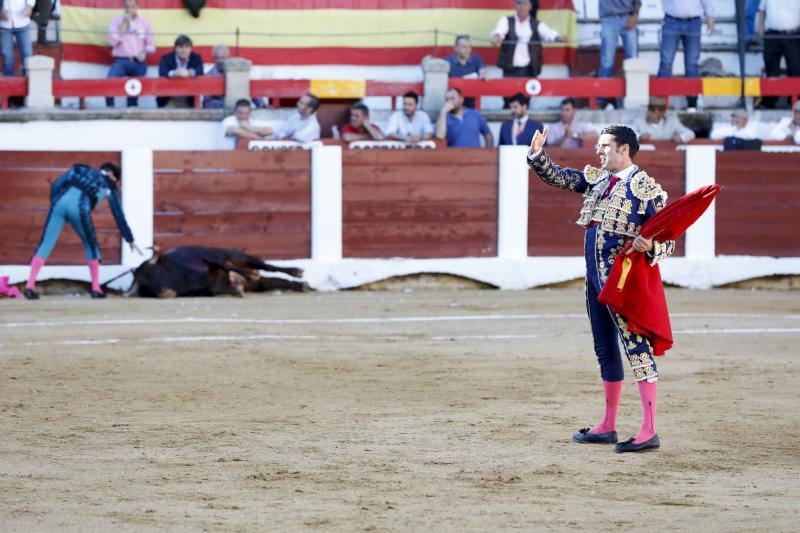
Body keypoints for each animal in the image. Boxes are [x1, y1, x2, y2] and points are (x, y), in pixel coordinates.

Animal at [130, 244, 308, 296]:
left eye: (156, 272)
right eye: (146, 289)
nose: (164, 293)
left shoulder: (207, 257)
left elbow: (226, 266)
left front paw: (245, 275)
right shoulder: (211, 289)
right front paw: (237, 285)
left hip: (241, 256)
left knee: (267, 266)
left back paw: (296, 271)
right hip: (258, 285)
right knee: (275, 281)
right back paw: (302, 286)